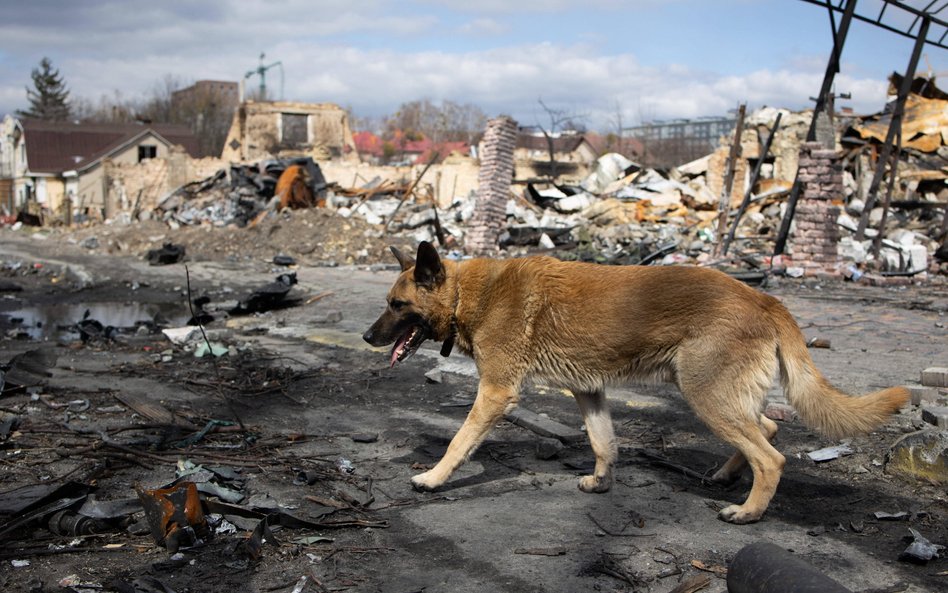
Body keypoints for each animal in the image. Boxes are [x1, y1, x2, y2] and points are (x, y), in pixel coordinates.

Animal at [362, 240, 912, 524]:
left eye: (396, 305)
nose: (367, 336)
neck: (467, 295)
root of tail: (765, 298)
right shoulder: (588, 390)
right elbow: (603, 442)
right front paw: (603, 482)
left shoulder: (497, 392)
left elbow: (458, 442)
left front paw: (433, 478)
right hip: (721, 397)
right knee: (769, 431)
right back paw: (725, 476)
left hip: (705, 395)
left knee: (772, 456)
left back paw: (748, 512)